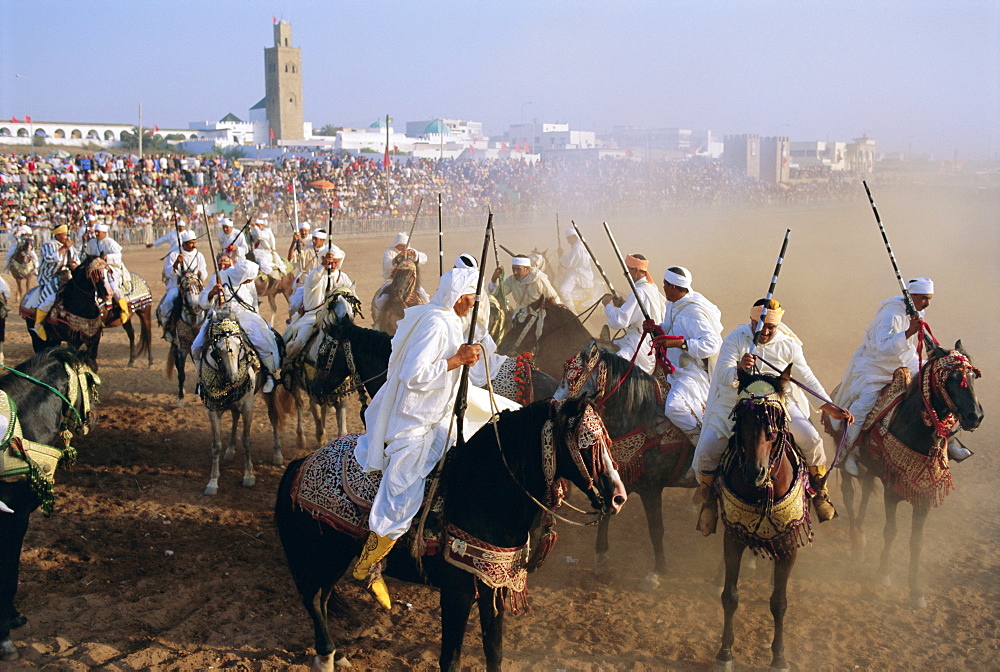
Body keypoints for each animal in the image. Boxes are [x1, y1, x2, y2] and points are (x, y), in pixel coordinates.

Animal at [270, 396, 620, 668]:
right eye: (588, 444)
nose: (618, 496)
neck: (477, 494)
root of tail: (300, 464)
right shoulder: (457, 592)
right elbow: (450, 659)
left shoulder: (493, 587)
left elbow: (494, 652)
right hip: (320, 555)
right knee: (313, 598)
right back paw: (327, 655)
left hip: (335, 558)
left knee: (323, 598)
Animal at [712, 364, 812, 672]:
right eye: (740, 418)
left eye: (774, 421)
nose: (754, 472)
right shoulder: (733, 537)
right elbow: (730, 597)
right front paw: (725, 653)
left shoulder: (789, 544)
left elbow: (779, 602)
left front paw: (779, 658)